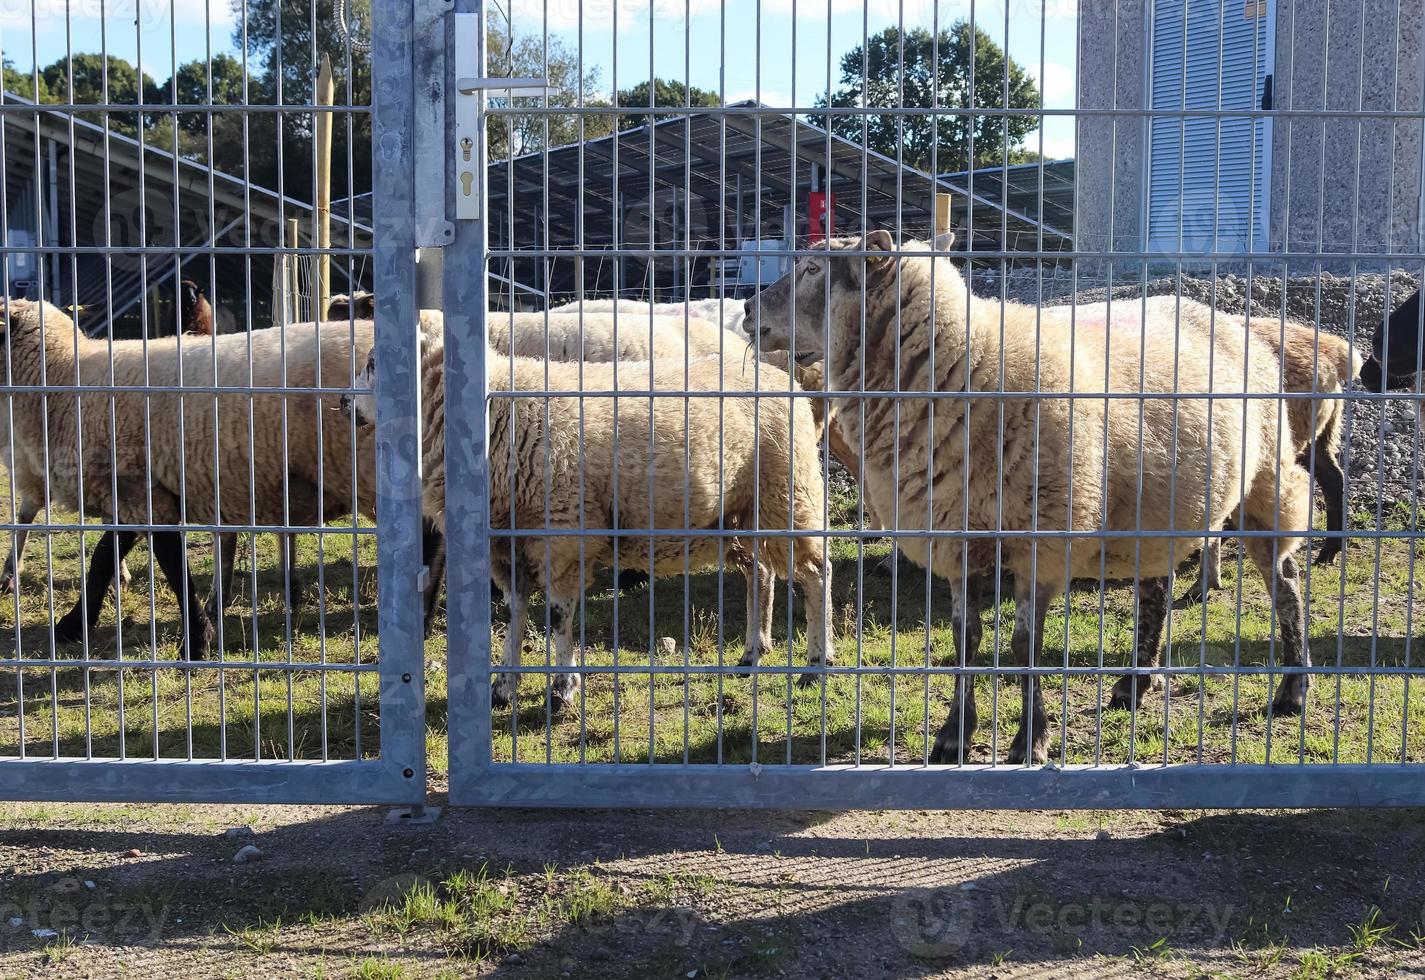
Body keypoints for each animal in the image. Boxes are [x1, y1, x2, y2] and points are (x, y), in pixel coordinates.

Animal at [1, 299, 379, 658]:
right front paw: (73, 625)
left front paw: (197, 642)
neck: (63, 378)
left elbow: (172, 568)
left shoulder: (140, 490)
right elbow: (103, 559)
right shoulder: (133, 493)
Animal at [347, 333, 832, 709]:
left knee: (815, 573)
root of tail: (781, 377)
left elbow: (558, 617)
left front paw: (562, 687)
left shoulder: (561, 535)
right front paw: (503, 685)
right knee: (761, 575)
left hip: (786, 491)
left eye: (374, 364)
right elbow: (515, 616)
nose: (343, 403)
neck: (497, 414)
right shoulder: (507, 546)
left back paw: (816, 664)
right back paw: (753, 653)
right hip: (739, 516)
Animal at [752, 235, 1316, 763]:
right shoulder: (955, 537)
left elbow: (1026, 646)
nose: (750, 315)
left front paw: (1032, 740)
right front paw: (954, 735)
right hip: (1155, 505)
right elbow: (964, 637)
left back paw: (1294, 688)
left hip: (1265, 479)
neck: (968, 364)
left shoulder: (1041, 538)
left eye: (812, 269)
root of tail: (1232, 321)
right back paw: (1135, 683)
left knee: (1286, 584)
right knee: (1156, 590)